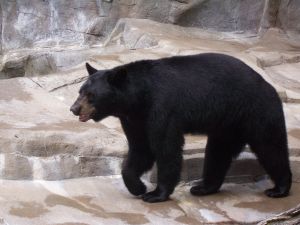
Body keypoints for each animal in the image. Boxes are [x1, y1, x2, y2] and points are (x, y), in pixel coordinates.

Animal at [70, 53, 290, 203]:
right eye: (80, 91)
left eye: (91, 95)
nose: (74, 108)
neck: (139, 97)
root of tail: (268, 85)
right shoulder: (135, 118)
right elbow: (140, 148)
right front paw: (138, 187)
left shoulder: (162, 107)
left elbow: (166, 148)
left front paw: (155, 194)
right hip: (227, 123)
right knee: (218, 151)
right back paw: (204, 187)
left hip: (255, 110)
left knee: (270, 146)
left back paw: (279, 188)